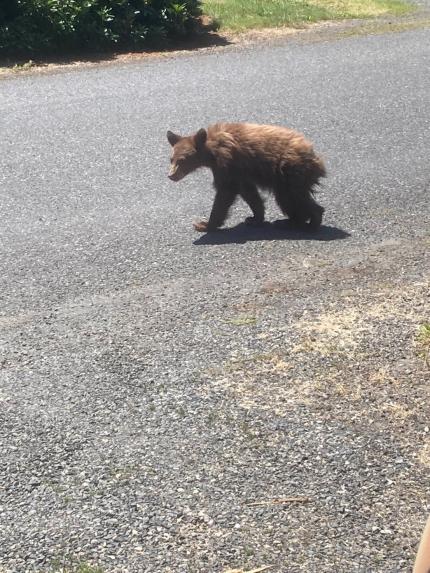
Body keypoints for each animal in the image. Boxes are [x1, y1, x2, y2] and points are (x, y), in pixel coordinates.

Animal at [165, 122, 326, 231]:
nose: (171, 175)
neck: (211, 151)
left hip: (290, 172)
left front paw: (205, 224)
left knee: (291, 197)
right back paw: (292, 221)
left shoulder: (227, 164)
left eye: (182, 160)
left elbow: (225, 192)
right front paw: (255, 218)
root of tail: (317, 159)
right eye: (171, 159)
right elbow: (248, 192)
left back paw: (307, 221)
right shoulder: (240, 172)